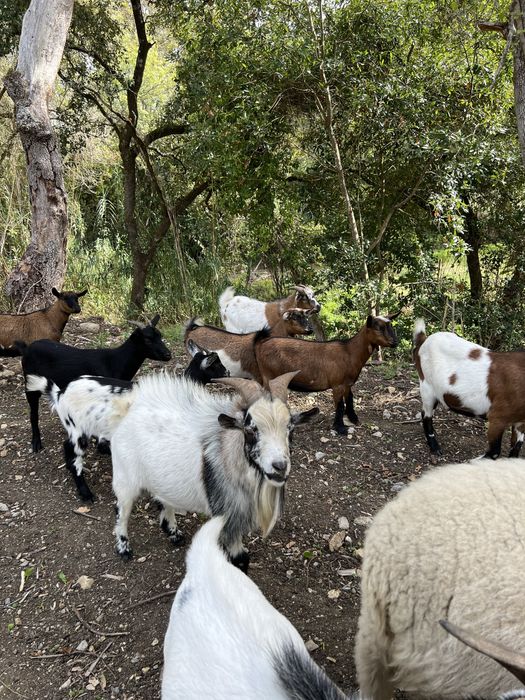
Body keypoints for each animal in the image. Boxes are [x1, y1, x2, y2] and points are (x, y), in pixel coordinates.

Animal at [17, 314, 171, 453]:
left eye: (160, 335)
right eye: (147, 340)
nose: (168, 354)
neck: (115, 362)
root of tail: (27, 349)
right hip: (30, 383)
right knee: (33, 413)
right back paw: (36, 443)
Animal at [24, 342, 226, 502]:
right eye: (217, 365)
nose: (228, 371)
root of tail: (60, 393)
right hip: (77, 426)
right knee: (71, 450)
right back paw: (85, 493)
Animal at [110, 373, 318, 569]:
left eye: (290, 429)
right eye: (250, 430)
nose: (280, 466)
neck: (225, 454)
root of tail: (128, 407)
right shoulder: (228, 520)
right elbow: (241, 559)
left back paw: (174, 534)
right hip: (124, 479)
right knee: (121, 512)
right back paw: (124, 548)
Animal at [254, 313, 399, 434]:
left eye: (390, 326)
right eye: (379, 328)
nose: (395, 342)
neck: (349, 352)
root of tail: (261, 344)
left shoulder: (347, 384)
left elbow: (350, 399)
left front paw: (353, 419)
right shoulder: (337, 384)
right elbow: (340, 406)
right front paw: (340, 428)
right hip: (269, 377)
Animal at [413, 318, 525, 458]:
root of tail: (424, 339)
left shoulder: (521, 422)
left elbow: (516, 448)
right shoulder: (497, 417)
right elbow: (494, 452)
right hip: (426, 384)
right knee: (426, 415)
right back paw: (435, 447)